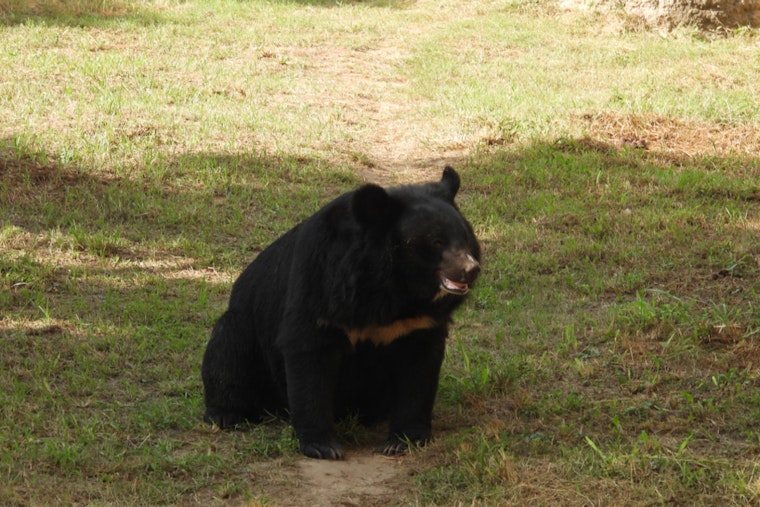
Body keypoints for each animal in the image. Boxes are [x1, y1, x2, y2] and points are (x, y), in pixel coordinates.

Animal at [201, 166, 481, 460]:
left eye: (465, 238)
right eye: (437, 242)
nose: (471, 269)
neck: (393, 287)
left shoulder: (419, 322)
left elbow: (419, 370)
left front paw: (403, 440)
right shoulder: (322, 283)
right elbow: (309, 355)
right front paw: (322, 446)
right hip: (243, 326)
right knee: (227, 353)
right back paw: (225, 414)